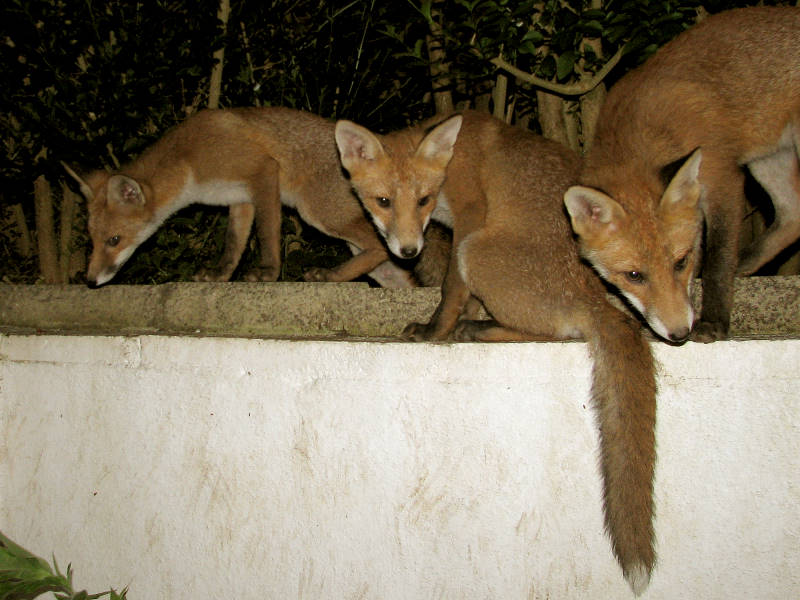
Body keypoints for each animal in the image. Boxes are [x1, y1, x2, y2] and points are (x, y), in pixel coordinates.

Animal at [62, 106, 422, 288]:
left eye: (114, 240)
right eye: (92, 241)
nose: (91, 280)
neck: (188, 160)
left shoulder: (262, 172)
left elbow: (267, 234)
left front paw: (268, 272)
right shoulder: (239, 198)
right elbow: (233, 245)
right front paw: (220, 276)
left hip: (316, 213)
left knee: (382, 247)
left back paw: (331, 275)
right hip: (364, 254)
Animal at [334, 110, 659, 595]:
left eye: (423, 199)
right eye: (384, 201)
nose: (409, 251)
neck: (452, 161)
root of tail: (595, 297)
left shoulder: (470, 215)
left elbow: (451, 288)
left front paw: (436, 329)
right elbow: (461, 293)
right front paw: (457, 316)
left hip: (479, 248)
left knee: (559, 334)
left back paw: (479, 329)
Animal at [565, 6, 800, 343]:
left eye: (681, 262)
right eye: (634, 275)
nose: (679, 334)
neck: (645, 132)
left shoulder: (723, 177)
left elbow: (718, 259)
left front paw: (714, 321)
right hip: (768, 159)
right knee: (793, 215)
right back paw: (746, 263)